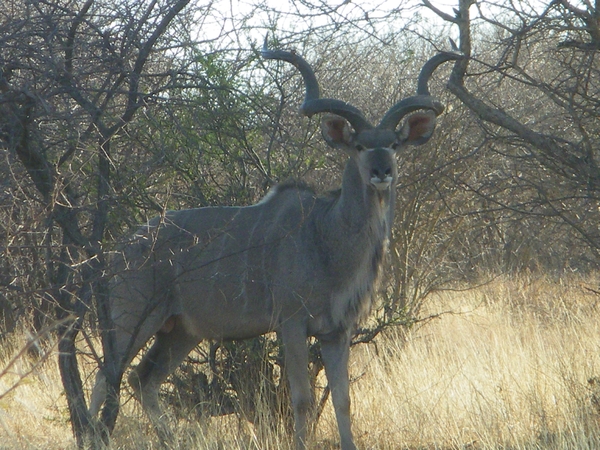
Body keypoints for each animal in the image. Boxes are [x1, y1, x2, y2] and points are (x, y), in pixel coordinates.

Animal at [88, 40, 454, 448]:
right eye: (359, 146)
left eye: (393, 144)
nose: (381, 172)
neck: (326, 236)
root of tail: (117, 250)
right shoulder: (291, 323)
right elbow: (302, 399)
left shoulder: (337, 331)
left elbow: (342, 400)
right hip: (131, 319)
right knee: (106, 377)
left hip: (180, 330)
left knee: (143, 379)